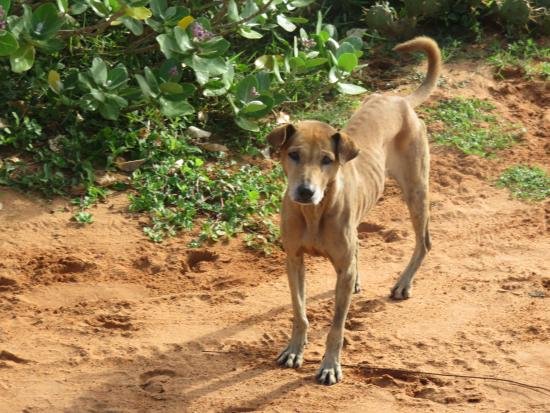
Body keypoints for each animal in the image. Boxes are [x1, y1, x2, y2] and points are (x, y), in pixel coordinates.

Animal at [268, 37, 444, 384]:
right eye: (293, 154)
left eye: (327, 160)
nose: (305, 192)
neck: (314, 214)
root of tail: (399, 100)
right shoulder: (294, 259)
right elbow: (299, 311)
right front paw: (295, 349)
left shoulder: (339, 268)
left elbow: (336, 327)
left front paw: (330, 365)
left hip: (416, 189)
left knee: (425, 241)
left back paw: (404, 283)